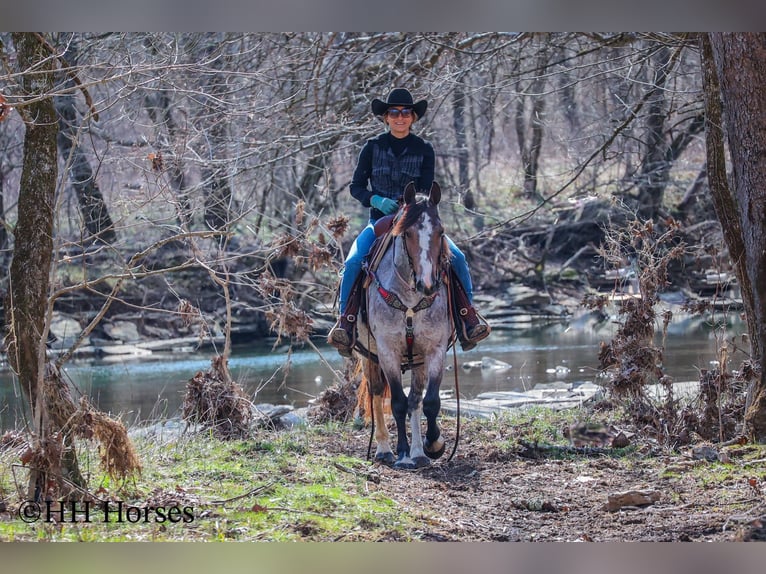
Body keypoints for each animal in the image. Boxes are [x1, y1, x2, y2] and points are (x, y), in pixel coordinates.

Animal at [356, 182, 452, 470]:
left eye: (441, 231)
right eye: (407, 233)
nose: (427, 284)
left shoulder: (434, 349)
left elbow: (429, 402)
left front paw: (433, 445)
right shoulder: (387, 351)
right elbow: (397, 402)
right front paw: (401, 453)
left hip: (417, 359)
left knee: (415, 400)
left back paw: (419, 452)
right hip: (368, 357)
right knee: (377, 395)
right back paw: (384, 450)